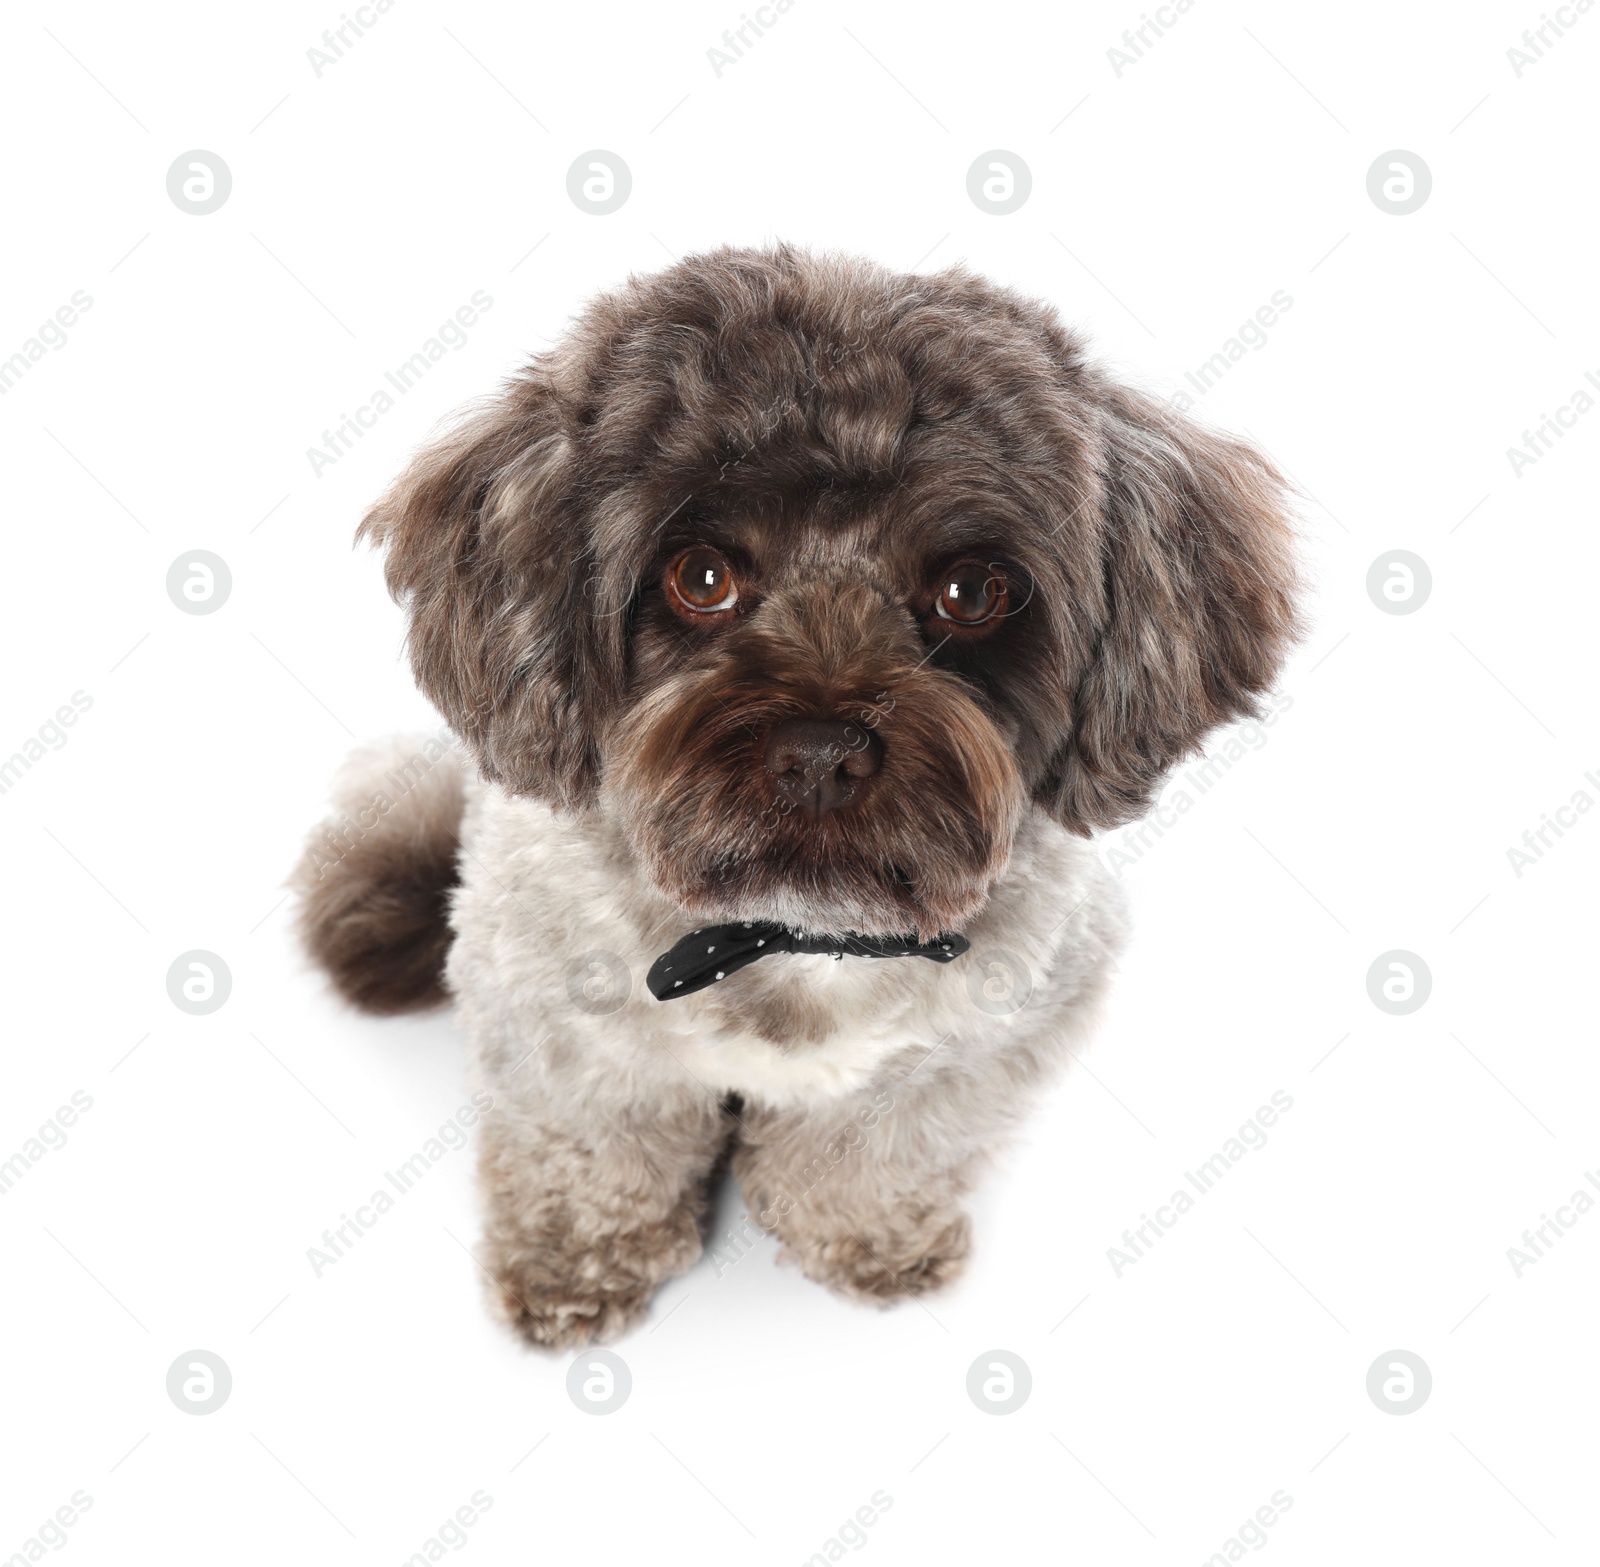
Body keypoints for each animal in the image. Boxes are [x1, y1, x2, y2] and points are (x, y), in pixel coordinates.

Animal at [297, 241, 1299, 1350]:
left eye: (971, 591)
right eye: (700, 576)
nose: (822, 753)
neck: (792, 929)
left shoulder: (978, 1045)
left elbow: (878, 1149)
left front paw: (864, 1236)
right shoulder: (560, 1030)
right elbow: (591, 1154)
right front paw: (578, 1262)